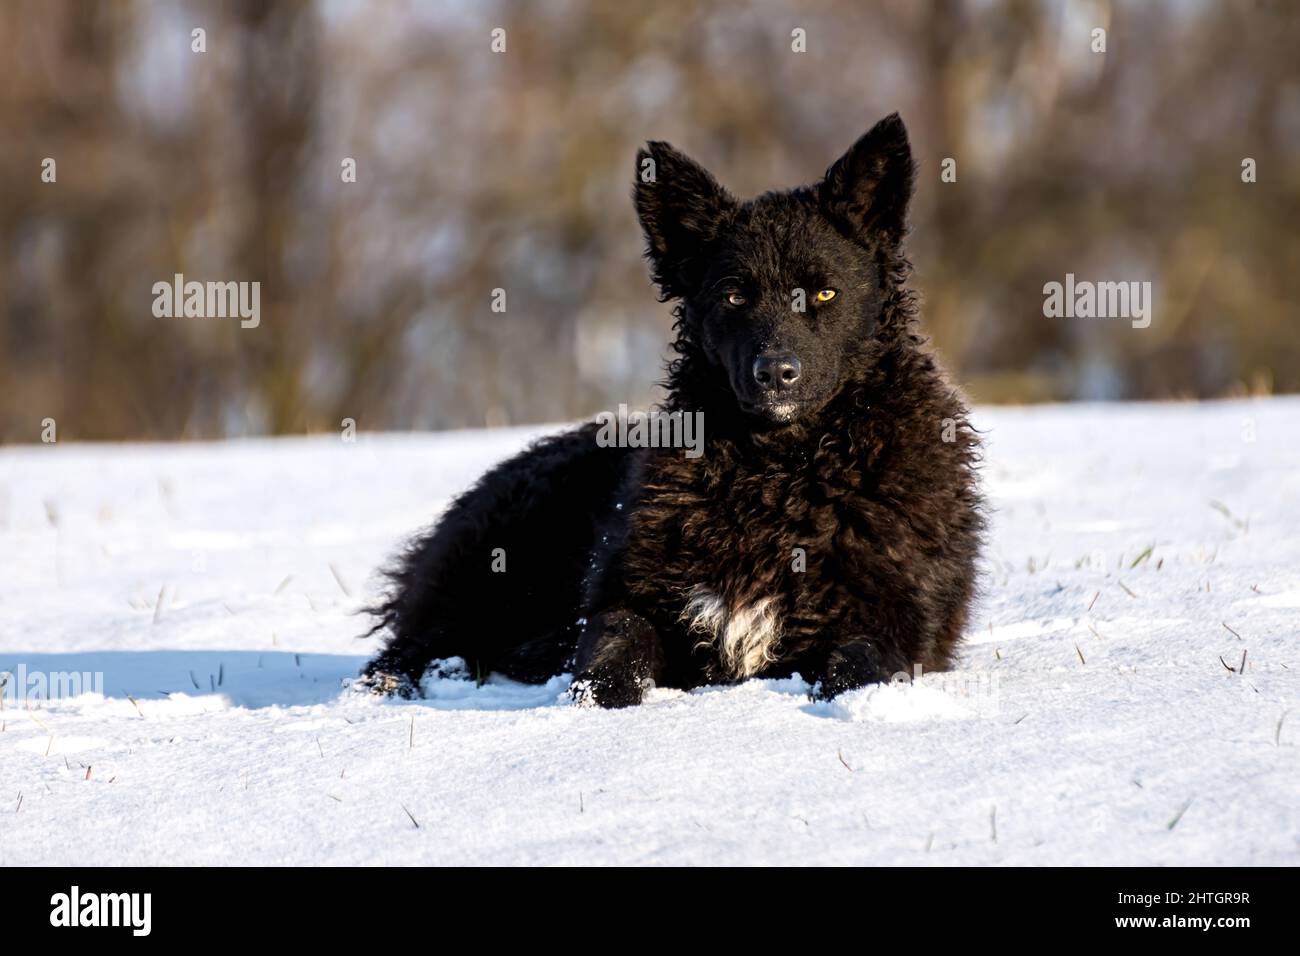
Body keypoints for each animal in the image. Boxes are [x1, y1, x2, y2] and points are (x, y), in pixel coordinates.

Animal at [361, 113, 977, 712]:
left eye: (825, 294)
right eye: (734, 296)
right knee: (406, 650)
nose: (775, 372)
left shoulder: (890, 618)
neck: (779, 472)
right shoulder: (627, 600)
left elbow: (857, 667)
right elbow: (612, 656)